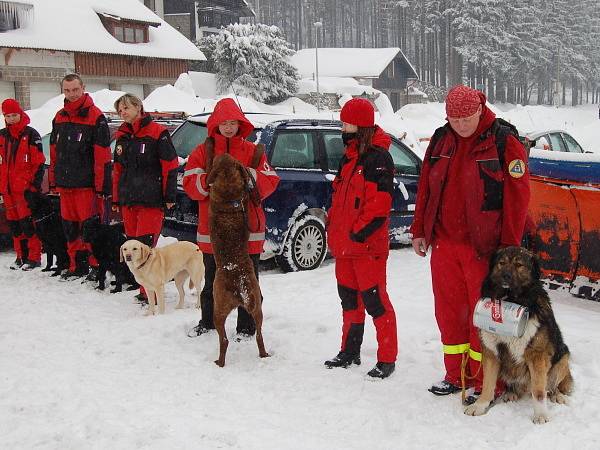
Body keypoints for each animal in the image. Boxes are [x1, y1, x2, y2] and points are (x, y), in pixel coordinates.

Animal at [209, 153, 270, 368]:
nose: (225, 153)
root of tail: (240, 283)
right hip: (258, 307)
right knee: (259, 335)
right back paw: (264, 354)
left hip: (218, 310)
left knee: (224, 340)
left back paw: (219, 362)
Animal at [464, 248, 572, 424]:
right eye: (501, 263)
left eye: (519, 265)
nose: (505, 276)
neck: (511, 299)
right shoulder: (491, 351)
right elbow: (487, 384)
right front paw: (480, 405)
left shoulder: (537, 355)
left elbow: (539, 391)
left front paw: (541, 415)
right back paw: (510, 393)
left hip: (562, 358)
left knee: (552, 386)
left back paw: (558, 396)